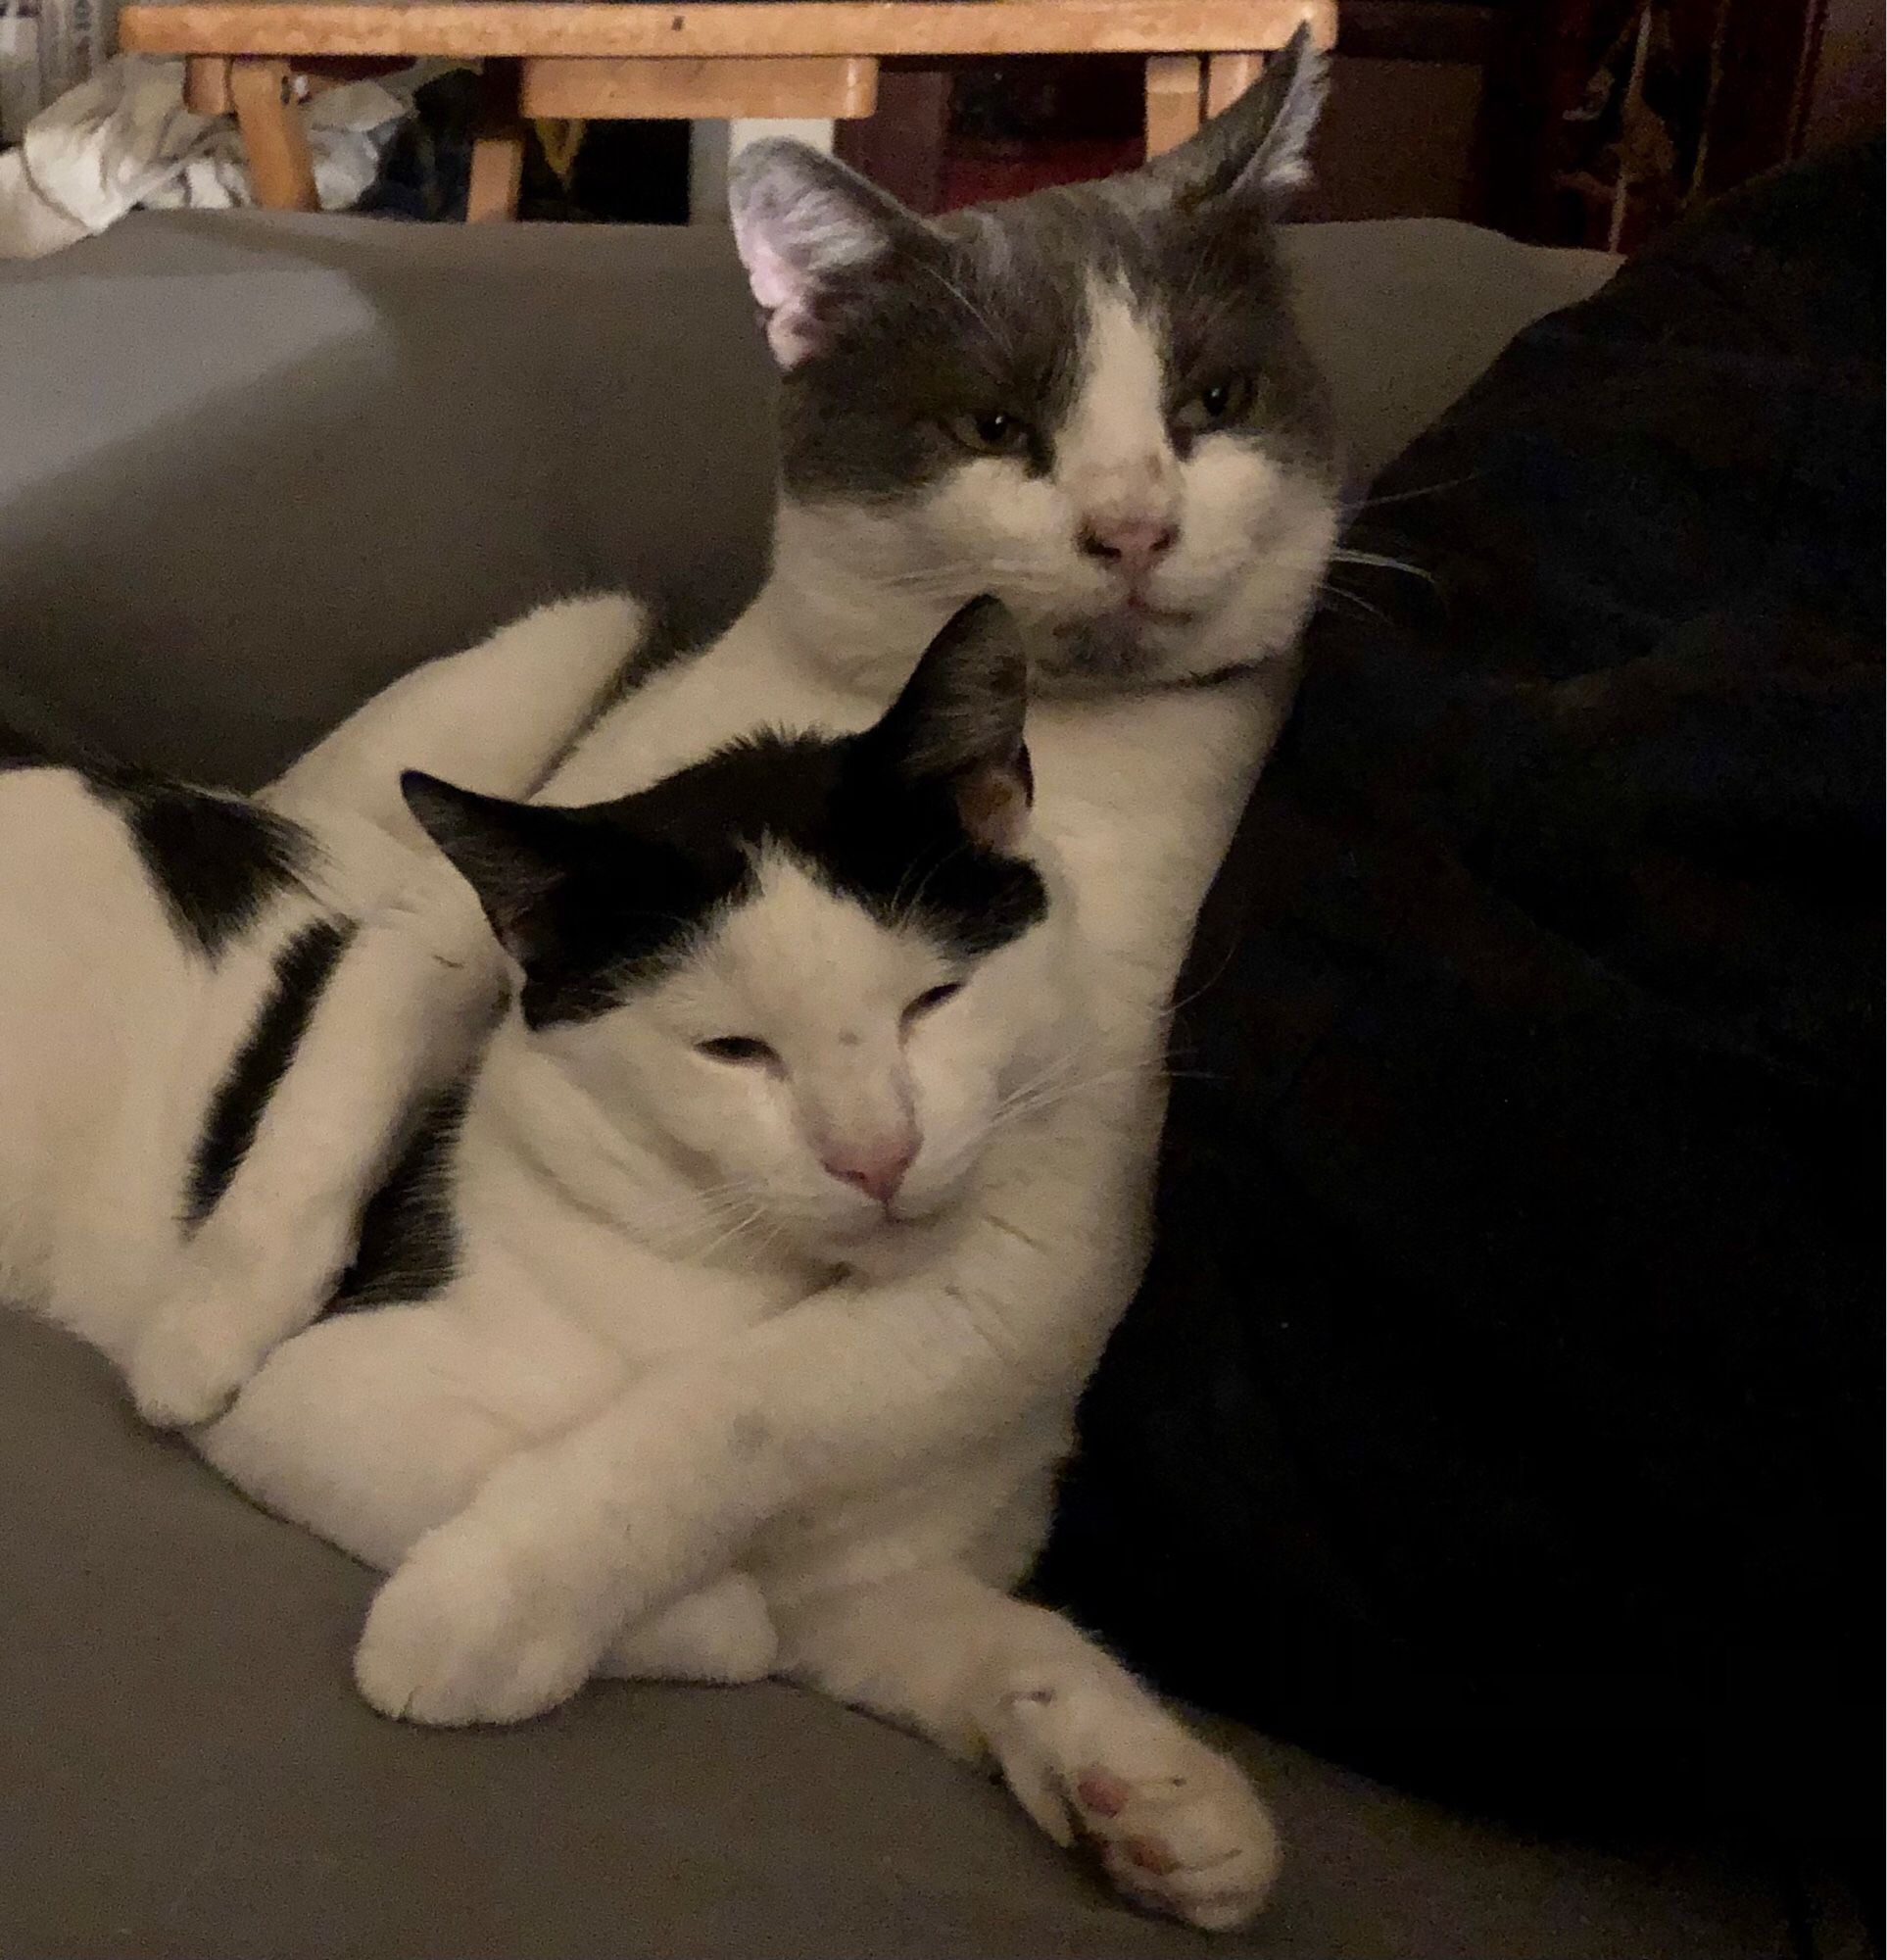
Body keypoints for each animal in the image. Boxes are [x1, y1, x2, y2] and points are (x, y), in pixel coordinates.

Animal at [15, 38, 1348, 1936]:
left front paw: (1126, 1771)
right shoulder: (445, 991)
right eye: (995, 430)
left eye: (1214, 402)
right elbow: (355, 1101)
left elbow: (775, 1452)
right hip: (537, 658)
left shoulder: (1038, 1229)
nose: (1132, 527)